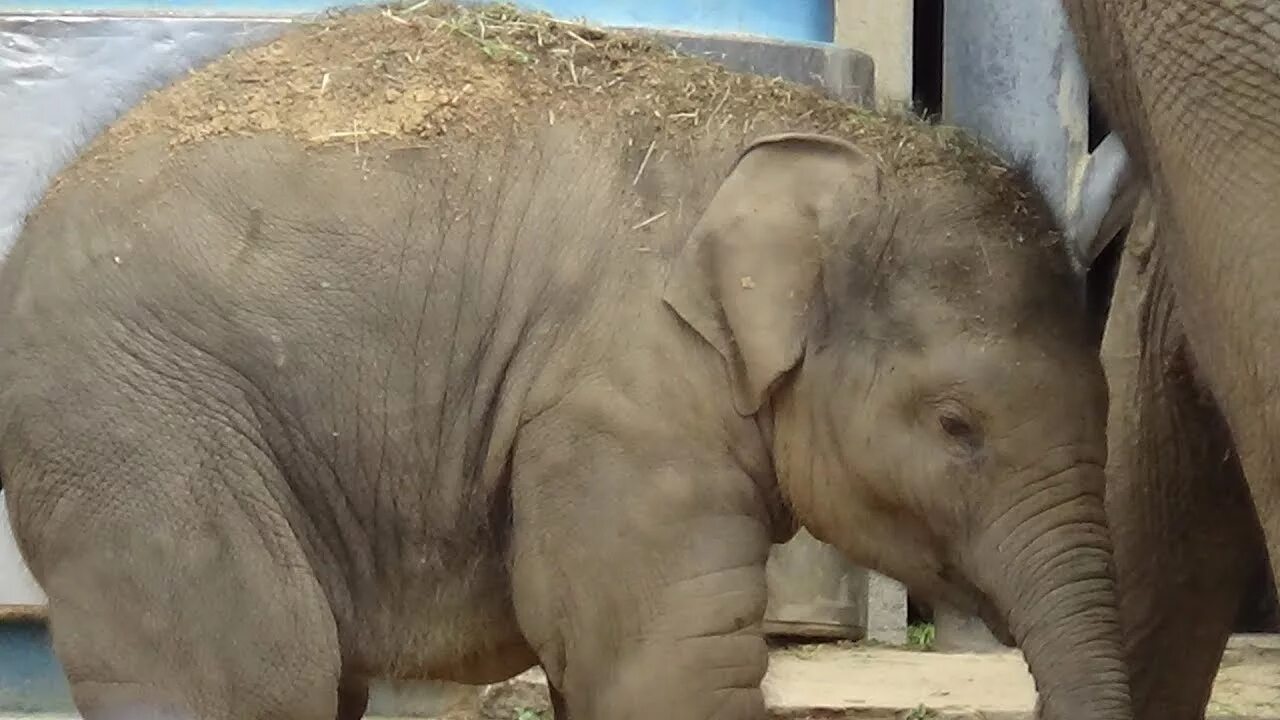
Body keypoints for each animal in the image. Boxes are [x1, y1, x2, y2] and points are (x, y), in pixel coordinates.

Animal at [0, 14, 1126, 717]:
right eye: (955, 426)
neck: (820, 131)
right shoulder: (620, 410)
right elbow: (667, 669)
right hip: (135, 425)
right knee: (255, 680)